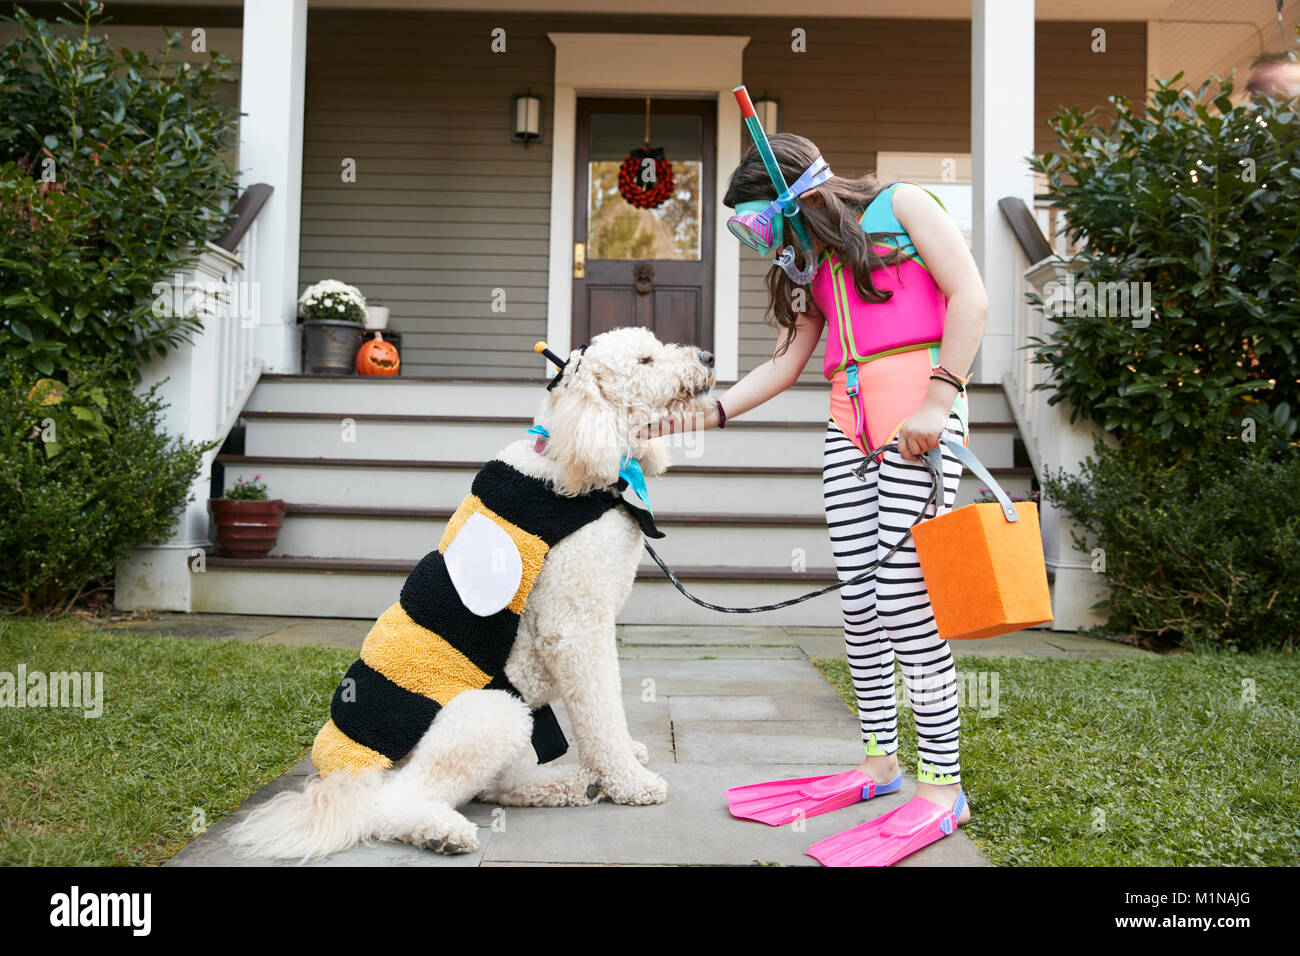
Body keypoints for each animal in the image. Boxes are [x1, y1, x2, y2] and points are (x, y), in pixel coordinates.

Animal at [228, 327, 717, 858]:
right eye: (646, 360)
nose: (708, 357)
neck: (572, 455)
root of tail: (342, 778)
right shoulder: (574, 626)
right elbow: (601, 711)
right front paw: (629, 780)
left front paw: (620, 763)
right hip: (492, 715)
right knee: (390, 805)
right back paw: (443, 831)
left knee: (494, 786)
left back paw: (571, 784)